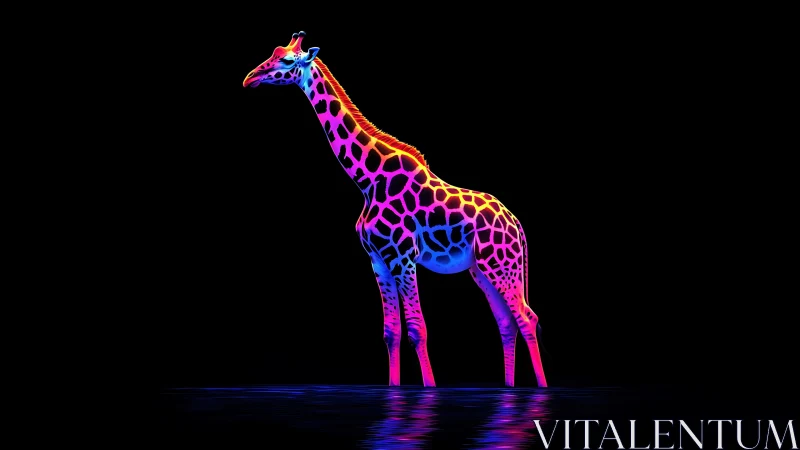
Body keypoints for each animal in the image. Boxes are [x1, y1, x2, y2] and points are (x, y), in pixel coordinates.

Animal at [243, 31, 547, 388]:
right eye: (274, 52)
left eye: (288, 61)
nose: (250, 78)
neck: (367, 179)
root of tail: (517, 225)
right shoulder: (377, 259)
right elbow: (391, 332)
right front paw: (393, 387)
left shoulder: (403, 257)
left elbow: (417, 328)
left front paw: (429, 389)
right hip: (482, 269)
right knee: (506, 322)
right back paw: (508, 389)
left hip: (502, 265)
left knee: (526, 317)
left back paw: (540, 389)